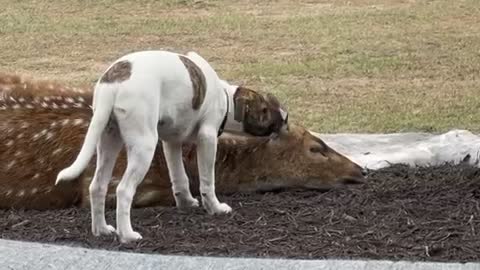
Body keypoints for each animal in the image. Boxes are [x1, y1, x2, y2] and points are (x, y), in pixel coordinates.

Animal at [56, 50, 288, 243]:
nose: (286, 118)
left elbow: (179, 177)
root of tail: (113, 82)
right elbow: (207, 181)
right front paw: (215, 207)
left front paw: (185, 202)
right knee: (124, 190)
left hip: (108, 141)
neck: (225, 97)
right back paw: (127, 235)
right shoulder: (207, 138)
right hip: (144, 146)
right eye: (265, 110)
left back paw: (102, 230)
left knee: (97, 186)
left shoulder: (171, 142)